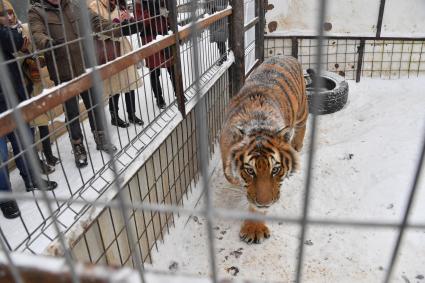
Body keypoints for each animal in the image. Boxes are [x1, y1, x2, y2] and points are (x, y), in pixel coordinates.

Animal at [220, 55, 306, 244]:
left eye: (275, 169)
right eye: (250, 171)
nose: (265, 203)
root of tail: (286, 55)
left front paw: (254, 229)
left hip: (302, 110)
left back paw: (297, 145)